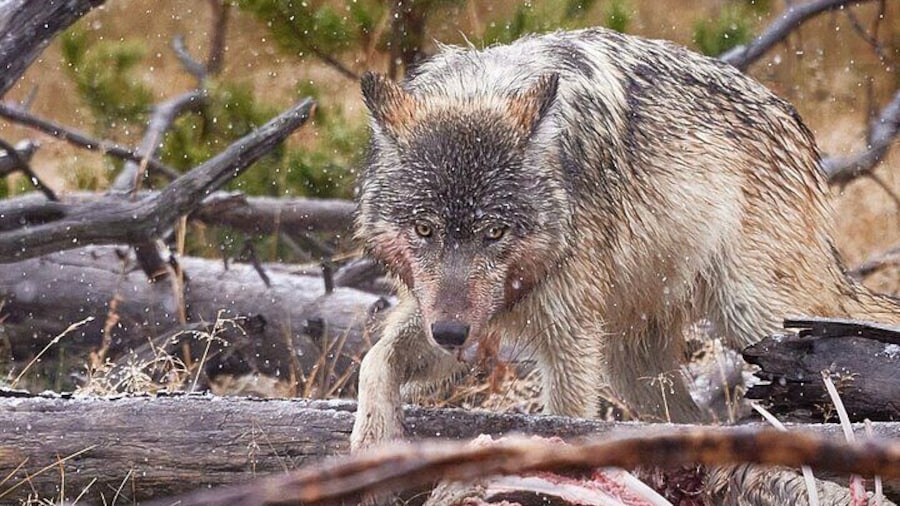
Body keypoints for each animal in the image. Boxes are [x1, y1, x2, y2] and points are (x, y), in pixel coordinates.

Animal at [350, 27, 900, 450]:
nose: (450, 334)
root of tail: (799, 130)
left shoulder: (568, 336)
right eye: (425, 229)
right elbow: (375, 361)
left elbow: (568, 417)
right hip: (633, 369)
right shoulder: (445, 311)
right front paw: (372, 438)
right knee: (692, 420)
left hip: (759, 321)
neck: (480, 90)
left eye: (494, 232)